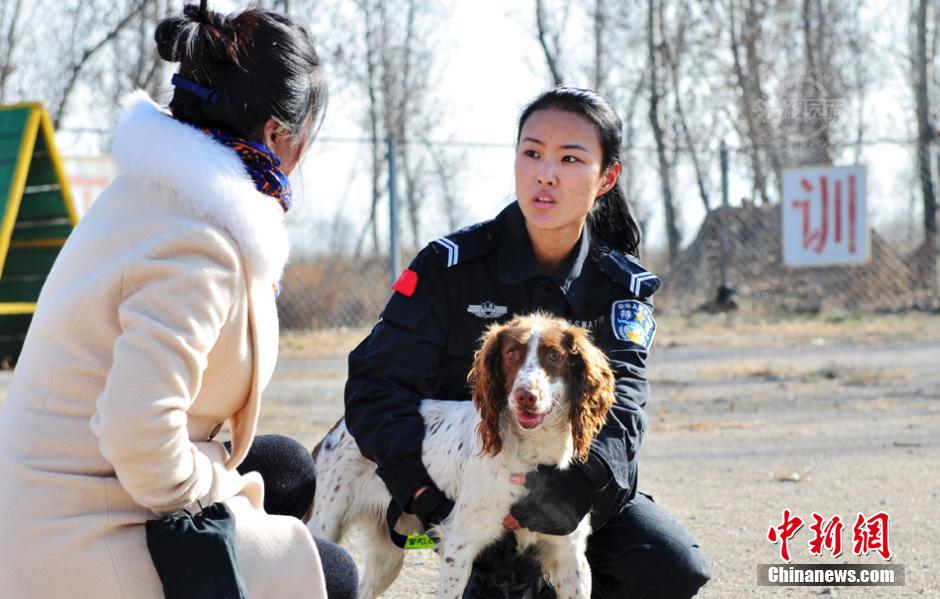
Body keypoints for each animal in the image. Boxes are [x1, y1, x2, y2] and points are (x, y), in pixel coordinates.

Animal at [308, 314, 616, 599]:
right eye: (511, 354)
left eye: (554, 356)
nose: (525, 396)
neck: (532, 452)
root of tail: (338, 427)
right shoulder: (459, 546)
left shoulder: (570, 556)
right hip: (325, 528)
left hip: (387, 557)